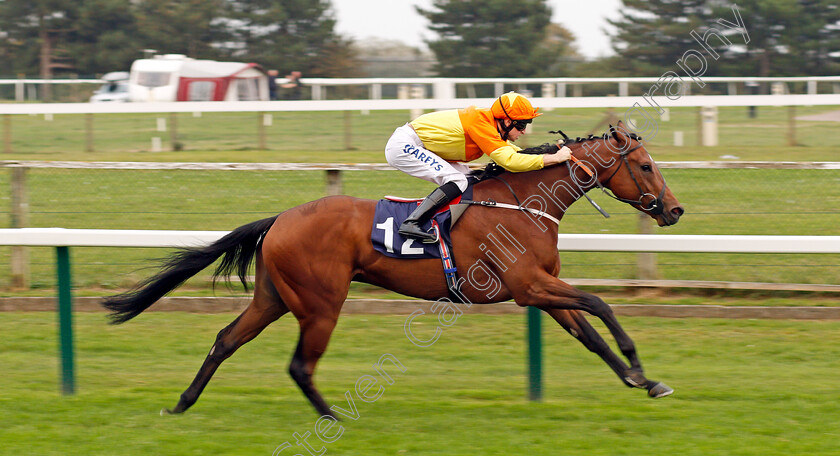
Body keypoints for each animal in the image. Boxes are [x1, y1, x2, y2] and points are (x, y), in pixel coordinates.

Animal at [103, 121, 684, 416]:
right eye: (645, 165)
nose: (675, 210)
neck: (523, 203)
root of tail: (280, 219)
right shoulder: (530, 285)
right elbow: (601, 304)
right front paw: (640, 367)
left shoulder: (541, 291)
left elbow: (590, 334)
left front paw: (644, 380)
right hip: (320, 303)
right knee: (299, 365)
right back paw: (332, 417)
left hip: (273, 297)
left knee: (226, 339)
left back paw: (182, 404)